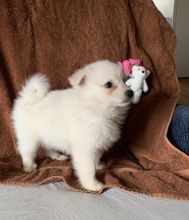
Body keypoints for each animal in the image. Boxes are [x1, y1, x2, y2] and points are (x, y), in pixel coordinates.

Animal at [12, 59, 133, 191]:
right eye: (109, 85)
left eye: (125, 81)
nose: (130, 92)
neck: (96, 108)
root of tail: (26, 98)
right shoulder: (85, 148)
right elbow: (88, 168)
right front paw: (92, 184)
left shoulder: (98, 141)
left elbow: (96, 157)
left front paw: (97, 165)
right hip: (28, 136)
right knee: (26, 150)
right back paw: (29, 166)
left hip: (48, 133)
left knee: (48, 146)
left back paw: (57, 156)